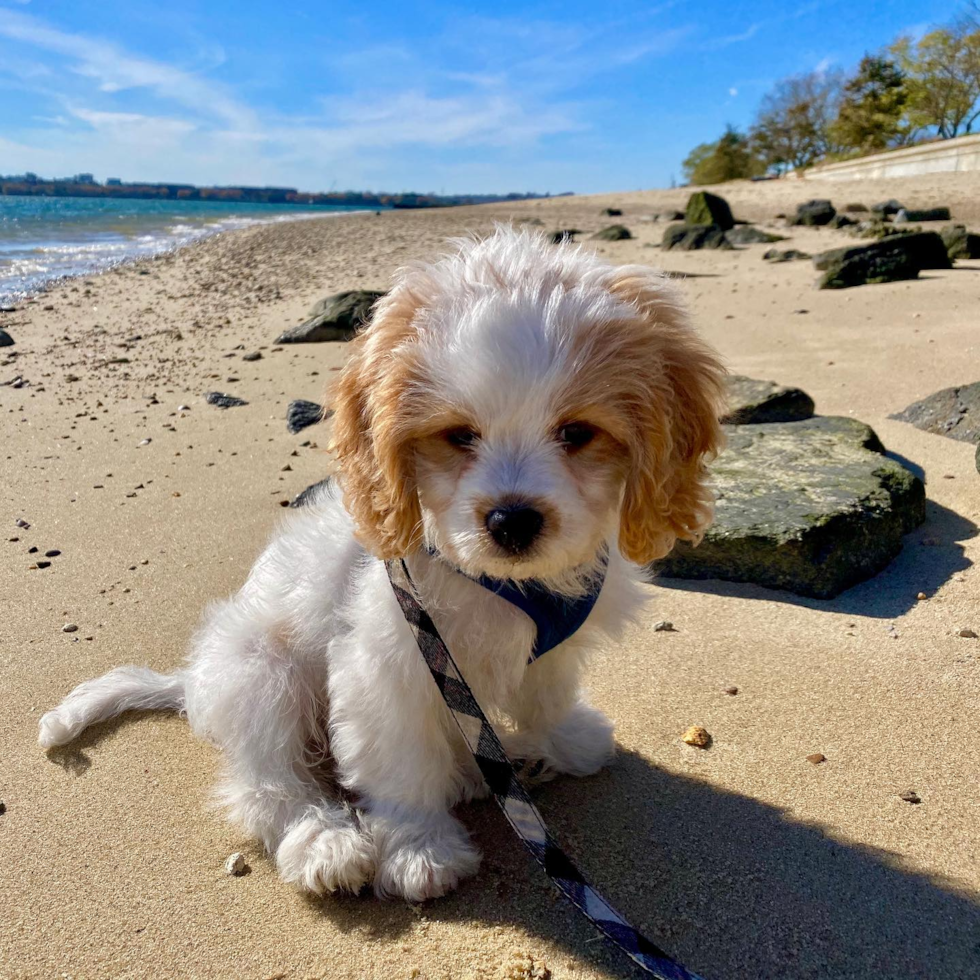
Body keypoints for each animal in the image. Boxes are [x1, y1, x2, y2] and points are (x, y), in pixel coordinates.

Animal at [40, 226, 728, 900]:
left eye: (578, 432)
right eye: (459, 435)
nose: (511, 520)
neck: (507, 585)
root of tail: (190, 681)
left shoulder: (551, 647)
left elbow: (548, 693)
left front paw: (561, 739)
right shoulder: (390, 659)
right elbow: (400, 762)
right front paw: (420, 847)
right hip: (261, 673)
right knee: (267, 786)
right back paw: (324, 838)